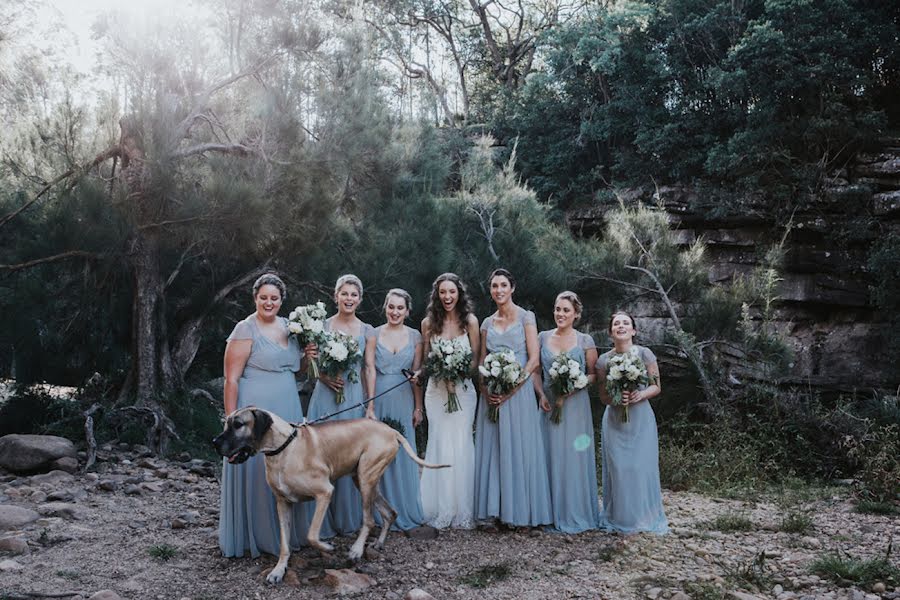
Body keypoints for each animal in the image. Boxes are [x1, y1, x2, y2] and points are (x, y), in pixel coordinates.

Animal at [212, 406, 450, 584]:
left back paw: (356, 550)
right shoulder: (283, 503)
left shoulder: (324, 492)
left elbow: (311, 534)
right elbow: (284, 544)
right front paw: (278, 570)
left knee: (369, 520)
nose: (215, 442)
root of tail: (391, 430)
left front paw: (327, 547)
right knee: (390, 512)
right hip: (364, 479)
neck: (282, 449)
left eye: (238, 424)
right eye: (226, 423)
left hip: (366, 477)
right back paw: (378, 543)